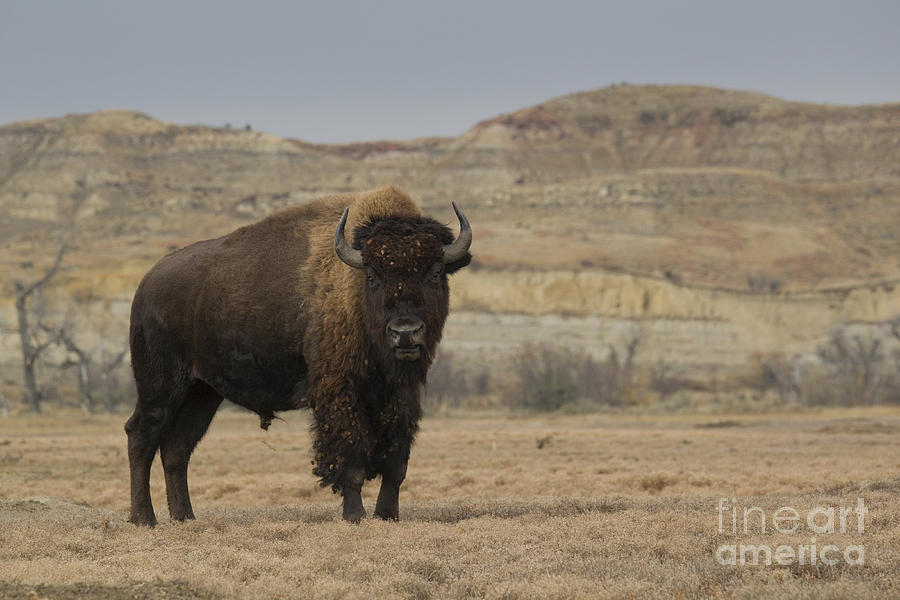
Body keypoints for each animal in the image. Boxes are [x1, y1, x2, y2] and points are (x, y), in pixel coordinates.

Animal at [125, 188, 472, 524]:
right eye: (373, 275)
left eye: (436, 272)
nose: (405, 332)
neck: (356, 290)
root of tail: (145, 287)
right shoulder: (339, 393)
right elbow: (351, 460)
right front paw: (355, 515)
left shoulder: (402, 397)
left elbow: (396, 465)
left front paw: (387, 515)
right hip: (161, 387)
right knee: (141, 436)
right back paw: (144, 518)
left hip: (202, 392)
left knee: (176, 449)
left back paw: (185, 517)